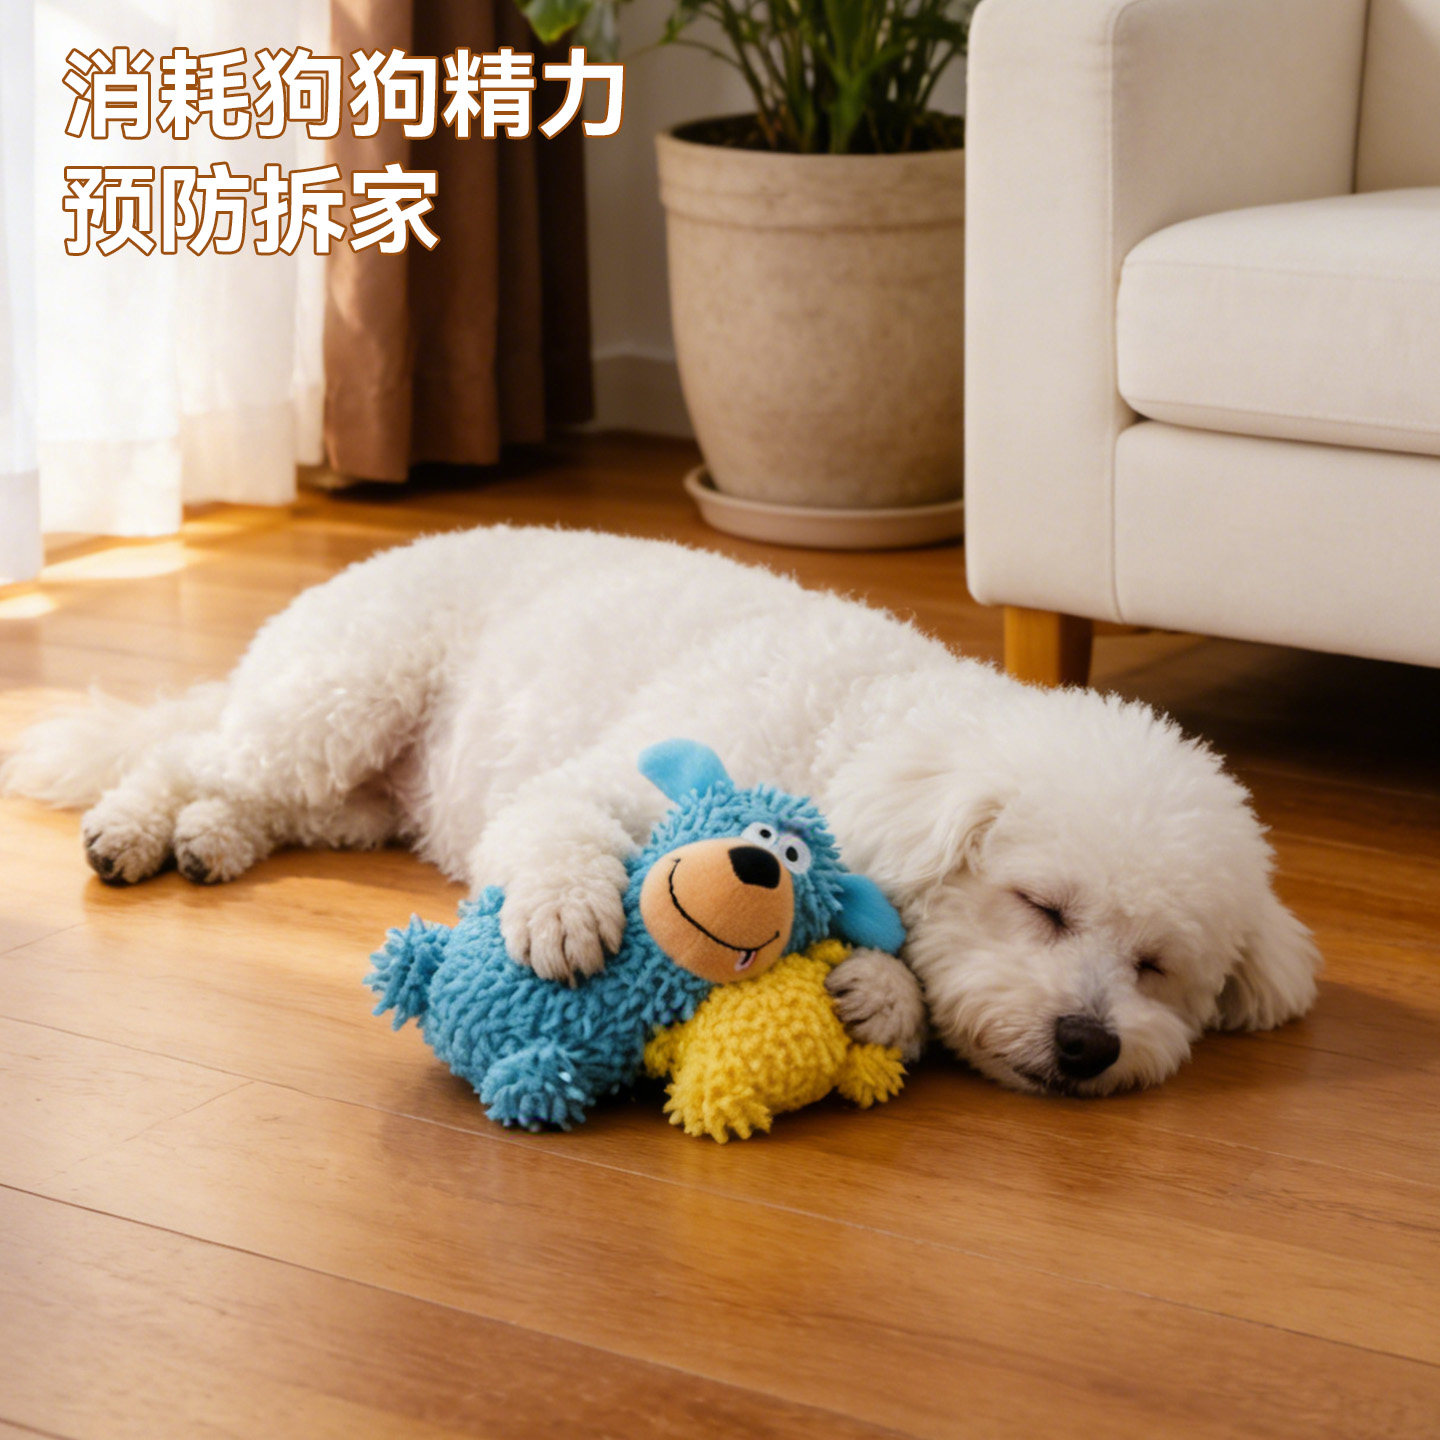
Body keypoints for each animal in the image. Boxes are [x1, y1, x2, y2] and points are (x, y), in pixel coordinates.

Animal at [2, 526, 1320, 1095]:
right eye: (1041, 907)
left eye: (1157, 969)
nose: (1089, 1046)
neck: (867, 737)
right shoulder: (614, 781)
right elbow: (562, 833)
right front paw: (563, 920)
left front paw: (879, 999)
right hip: (341, 694)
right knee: (191, 750)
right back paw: (136, 826)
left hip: (354, 797)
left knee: (256, 797)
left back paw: (209, 838)